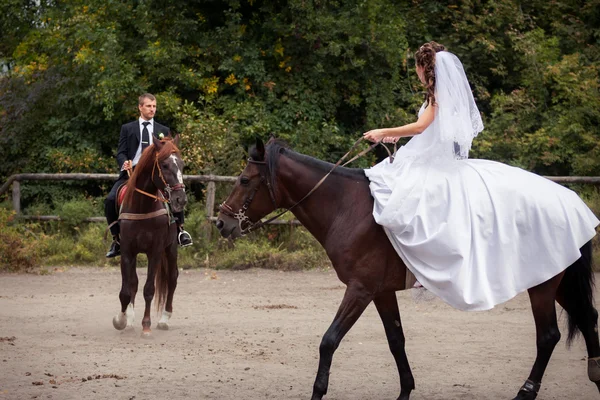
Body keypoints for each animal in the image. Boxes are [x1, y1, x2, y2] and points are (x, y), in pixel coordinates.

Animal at [111, 136, 186, 336]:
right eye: (165, 165)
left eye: (181, 164)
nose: (180, 199)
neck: (142, 206)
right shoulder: (127, 251)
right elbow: (127, 289)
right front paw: (122, 320)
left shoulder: (156, 251)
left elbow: (149, 289)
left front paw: (146, 325)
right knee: (134, 283)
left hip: (171, 248)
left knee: (172, 278)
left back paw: (164, 319)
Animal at [217, 136, 600, 398]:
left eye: (245, 180)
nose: (222, 223)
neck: (346, 206)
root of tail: (568, 198)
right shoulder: (380, 292)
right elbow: (396, 340)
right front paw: (405, 390)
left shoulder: (359, 289)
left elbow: (329, 341)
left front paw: (318, 391)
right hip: (556, 279)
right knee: (588, 318)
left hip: (543, 285)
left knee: (548, 335)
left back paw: (526, 391)